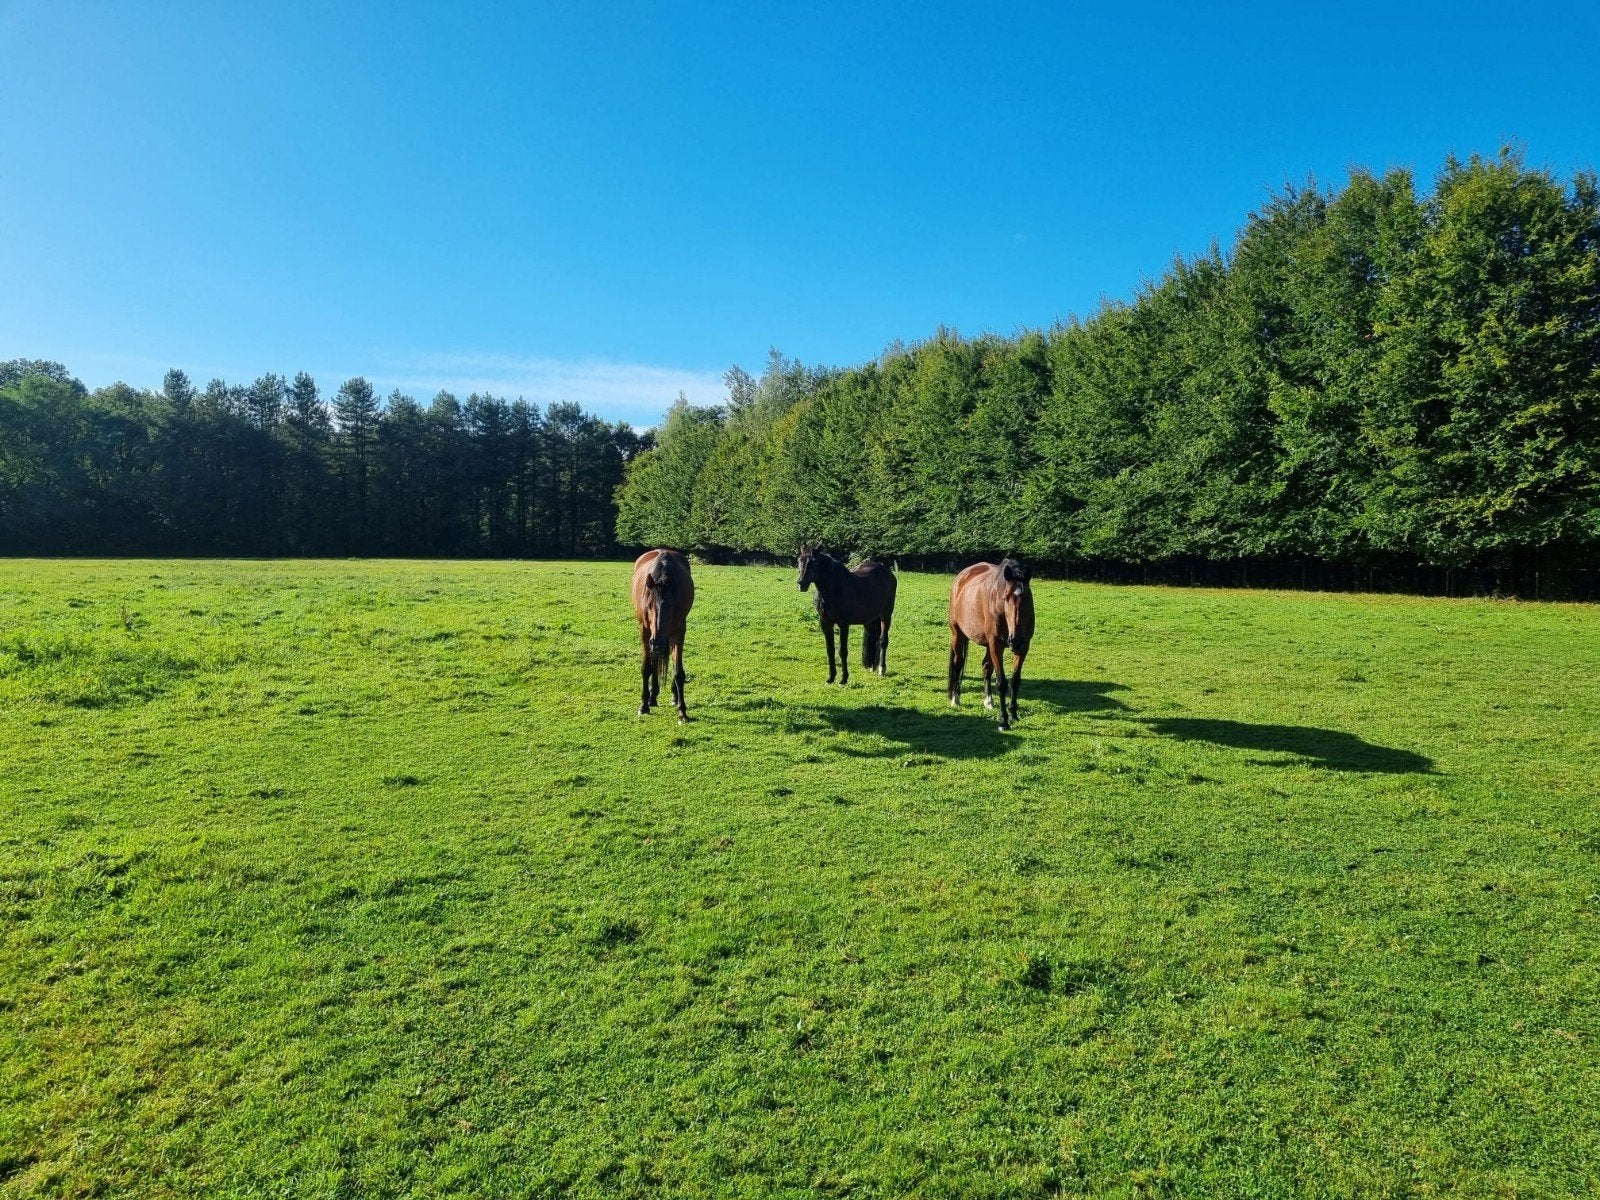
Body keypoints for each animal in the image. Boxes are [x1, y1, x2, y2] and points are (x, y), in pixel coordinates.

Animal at [631, 548, 694, 720]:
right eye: (648, 606)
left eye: (670, 605)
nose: (657, 642)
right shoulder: (645, 632)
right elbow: (646, 668)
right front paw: (643, 705)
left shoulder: (679, 632)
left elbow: (678, 672)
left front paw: (682, 710)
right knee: (654, 662)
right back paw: (652, 697)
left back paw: (673, 696)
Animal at [796, 544, 897, 684]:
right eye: (799, 560)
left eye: (813, 562)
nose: (801, 584)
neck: (834, 589)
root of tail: (888, 573)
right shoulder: (825, 623)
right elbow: (830, 650)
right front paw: (831, 677)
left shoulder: (843, 624)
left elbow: (842, 651)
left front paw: (844, 679)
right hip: (869, 619)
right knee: (872, 637)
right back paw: (872, 666)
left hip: (886, 615)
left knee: (883, 640)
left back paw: (881, 669)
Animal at [948, 558, 1034, 729]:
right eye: (1005, 597)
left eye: (1027, 597)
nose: (1015, 639)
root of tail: (961, 576)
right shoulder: (996, 645)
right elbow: (1001, 683)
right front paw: (1003, 721)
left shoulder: (1024, 647)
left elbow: (1015, 681)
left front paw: (1013, 714)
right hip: (958, 635)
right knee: (958, 663)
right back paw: (955, 698)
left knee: (986, 667)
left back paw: (988, 701)